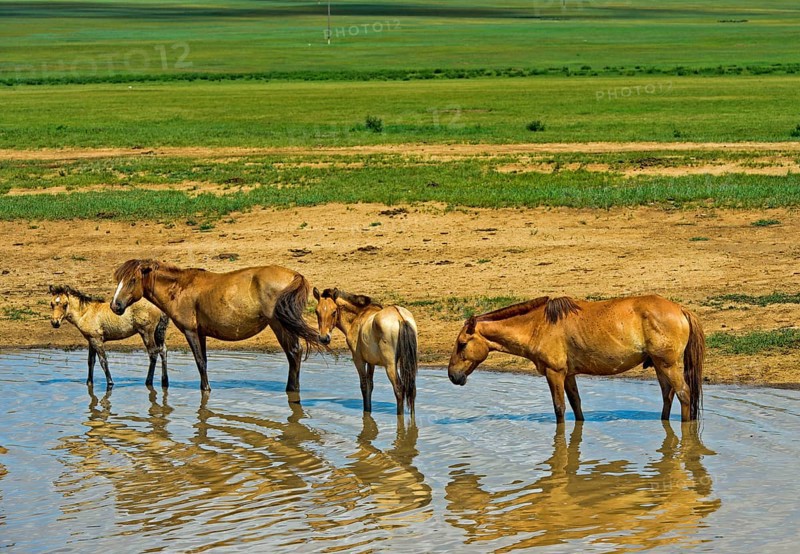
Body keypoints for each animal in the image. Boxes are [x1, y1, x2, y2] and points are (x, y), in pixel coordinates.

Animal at [110, 259, 323, 393]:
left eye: (132, 280)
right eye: (119, 280)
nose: (115, 305)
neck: (180, 287)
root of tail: (295, 275)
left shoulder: (190, 331)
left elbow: (200, 362)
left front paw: (206, 390)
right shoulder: (202, 333)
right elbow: (203, 361)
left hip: (279, 325)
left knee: (294, 353)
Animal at [313, 287, 418, 416]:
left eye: (334, 312)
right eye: (317, 312)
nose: (324, 338)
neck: (358, 316)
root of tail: (400, 318)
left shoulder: (358, 360)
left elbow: (364, 385)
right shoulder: (371, 362)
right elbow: (370, 385)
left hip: (390, 366)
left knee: (399, 389)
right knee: (411, 390)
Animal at [447, 295, 705, 423]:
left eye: (462, 344)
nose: (452, 375)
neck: (538, 325)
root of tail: (681, 309)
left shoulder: (554, 374)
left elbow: (559, 408)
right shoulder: (569, 375)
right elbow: (576, 405)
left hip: (669, 366)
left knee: (684, 394)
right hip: (661, 367)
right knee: (668, 396)